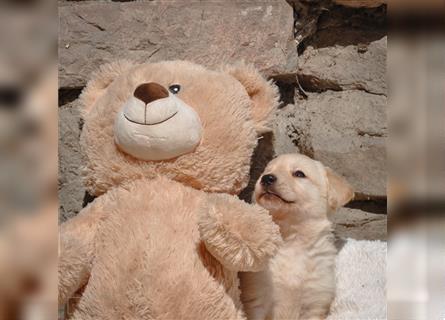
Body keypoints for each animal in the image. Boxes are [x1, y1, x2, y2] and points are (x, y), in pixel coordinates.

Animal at [239, 153, 354, 320]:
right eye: (267, 171)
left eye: (299, 174)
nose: (266, 178)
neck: (290, 240)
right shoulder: (257, 296)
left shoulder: (315, 304)